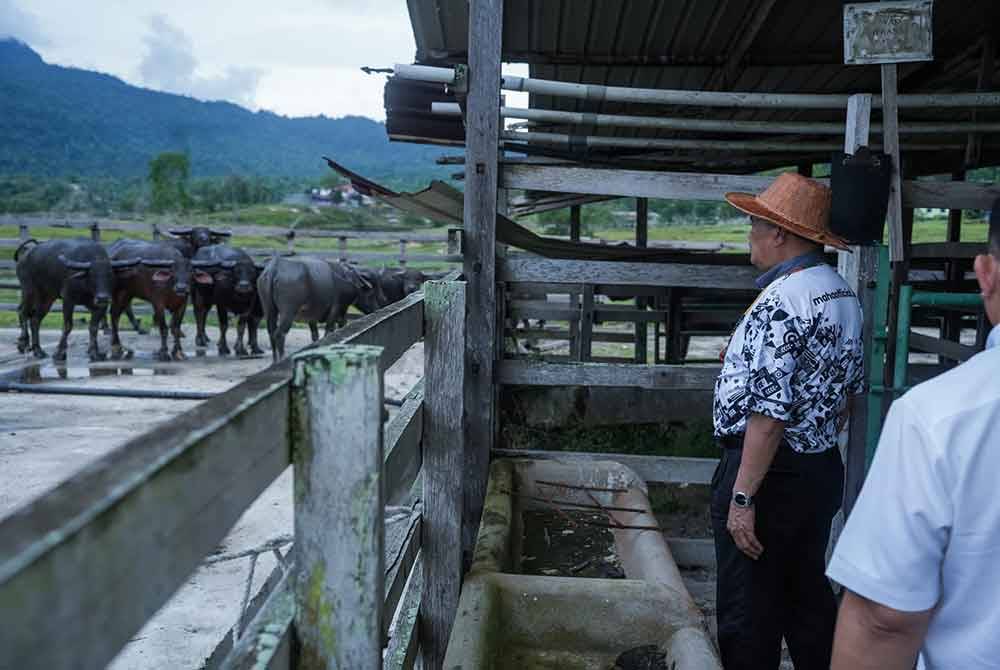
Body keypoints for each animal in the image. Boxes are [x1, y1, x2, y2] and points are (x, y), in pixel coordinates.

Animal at [256, 258, 384, 362]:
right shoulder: (335, 311)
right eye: (371, 292)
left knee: (271, 332)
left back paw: (275, 361)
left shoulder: (312, 317)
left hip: (269, 310)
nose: (377, 308)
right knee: (279, 334)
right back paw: (281, 359)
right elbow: (329, 332)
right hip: (288, 312)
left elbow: (315, 336)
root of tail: (275, 267)